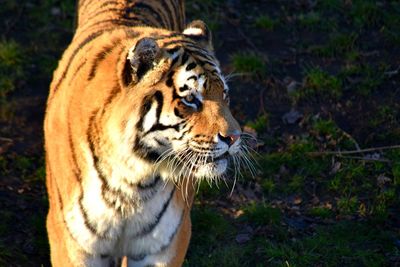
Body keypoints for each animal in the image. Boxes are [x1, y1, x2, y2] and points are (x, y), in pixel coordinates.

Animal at [43, 0, 250, 267]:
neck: (132, 181)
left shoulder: (164, 245)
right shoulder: (73, 246)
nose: (234, 137)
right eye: (190, 99)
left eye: (224, 94)